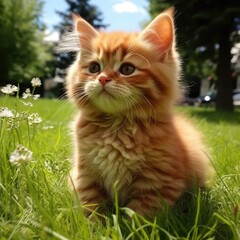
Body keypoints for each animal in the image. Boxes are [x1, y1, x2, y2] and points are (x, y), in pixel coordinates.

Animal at [65, 7, 210, 218]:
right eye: (94, 68)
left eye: (127, 69)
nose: (102, 79)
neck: (116, 127)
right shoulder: (85, 174)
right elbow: (92, 210)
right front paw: (97, 225)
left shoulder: (157, 183)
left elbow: (137, 217)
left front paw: (123, 225)